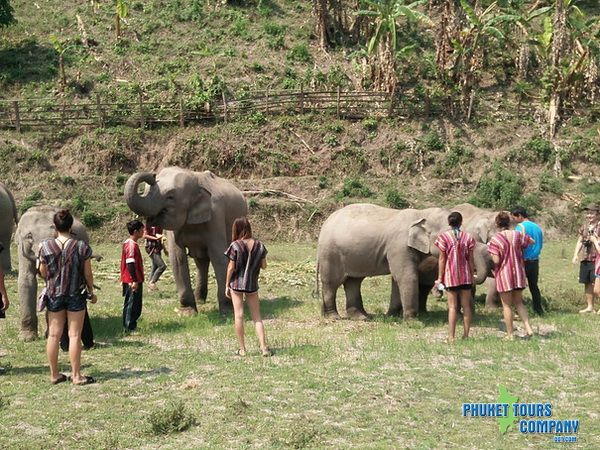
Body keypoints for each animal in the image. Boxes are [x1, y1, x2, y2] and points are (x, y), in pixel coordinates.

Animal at [125, 166, 247, 316]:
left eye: (170, 197)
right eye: (146, 191)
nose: (152, 175)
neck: (195, 179)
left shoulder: (215, 217)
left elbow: (219, 256)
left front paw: (227, 312)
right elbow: (177, 258)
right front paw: (187, 313)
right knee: (201, 260)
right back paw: (200, 300)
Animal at [316, 204, 490, 320]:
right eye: (453, 234)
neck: (421, 213)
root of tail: (324, 225)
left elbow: (396, 279)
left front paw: (393, 316)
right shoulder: (399, 246)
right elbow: (406, 276)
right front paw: (412, 321)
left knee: (353, 282)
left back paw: (361, 317)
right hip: (330, 254)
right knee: (332, 283)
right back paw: (333, 317)